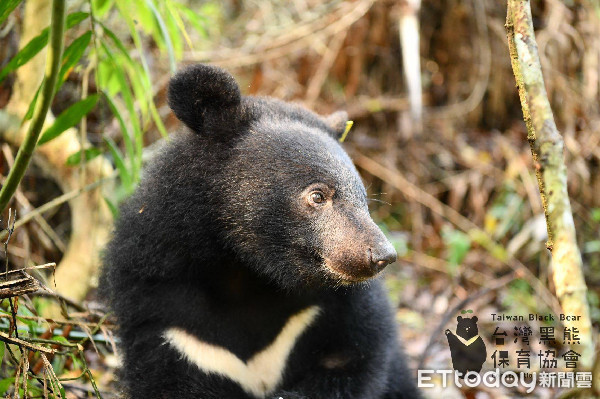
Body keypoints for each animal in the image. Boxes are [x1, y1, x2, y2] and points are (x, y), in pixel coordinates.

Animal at [101, 64, 422, 398]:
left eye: (363, 197)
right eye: (318, 196)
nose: (382, 255)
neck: (247, 274)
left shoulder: (337, 310)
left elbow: (353, 358)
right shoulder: (169, 318)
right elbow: (171, 380)